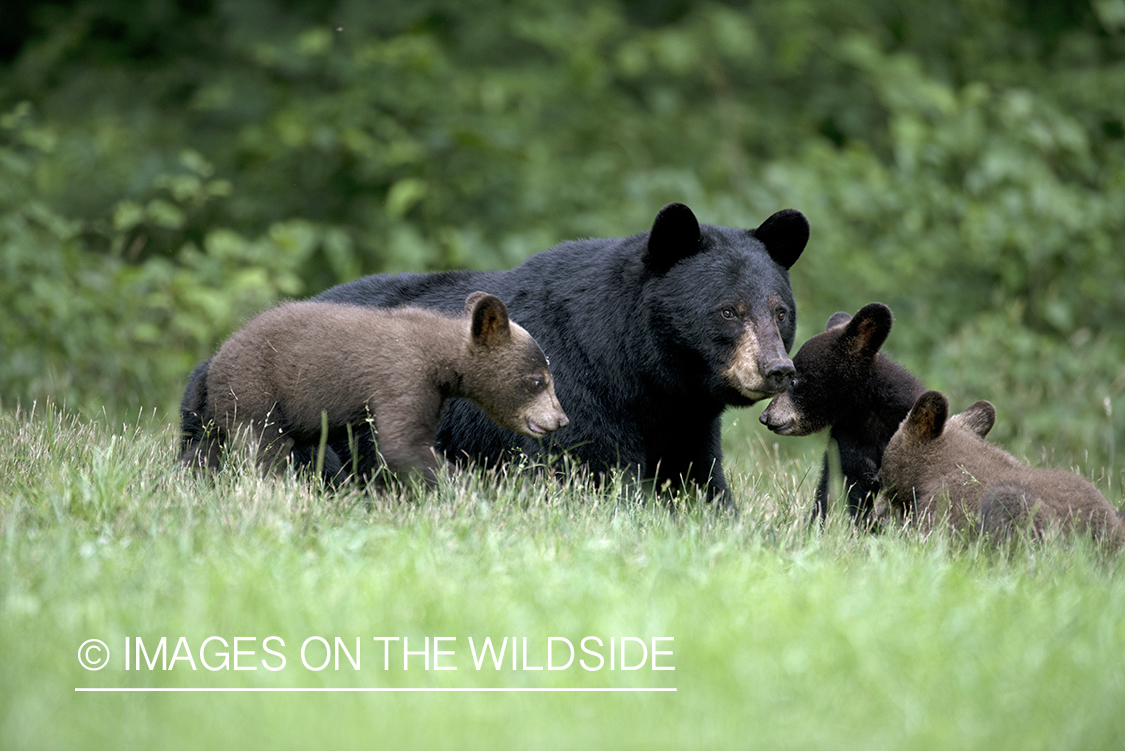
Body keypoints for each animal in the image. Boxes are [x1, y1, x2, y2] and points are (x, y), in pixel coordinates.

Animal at [189, 290, 571, 483]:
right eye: (538, 380)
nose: (561, 419)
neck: (440, 357)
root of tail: (214, 363)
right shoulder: (403, 377)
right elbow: (402, 445)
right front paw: (471, 486)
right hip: (256, 392)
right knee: (266, 448)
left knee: (202, 450)